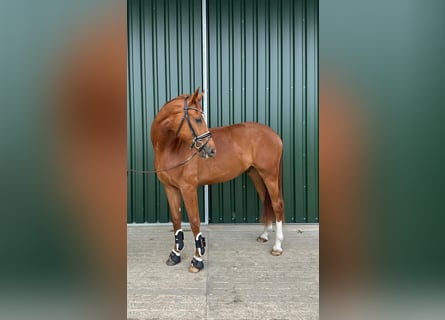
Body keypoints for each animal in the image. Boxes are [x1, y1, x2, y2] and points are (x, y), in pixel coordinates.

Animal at [151, 87, 282, 272]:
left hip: (269, 175)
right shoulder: (170, 188)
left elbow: (194, 222)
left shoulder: (188, 188)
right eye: (198, 119)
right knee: (267, 201)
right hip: (256, 174)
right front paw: (174, 255)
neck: (170, 148)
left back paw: (277, 246)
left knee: (277, 205)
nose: (212, 150)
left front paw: (197, 260)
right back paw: (264, 235)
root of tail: (274, 135)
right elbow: (176, 220)